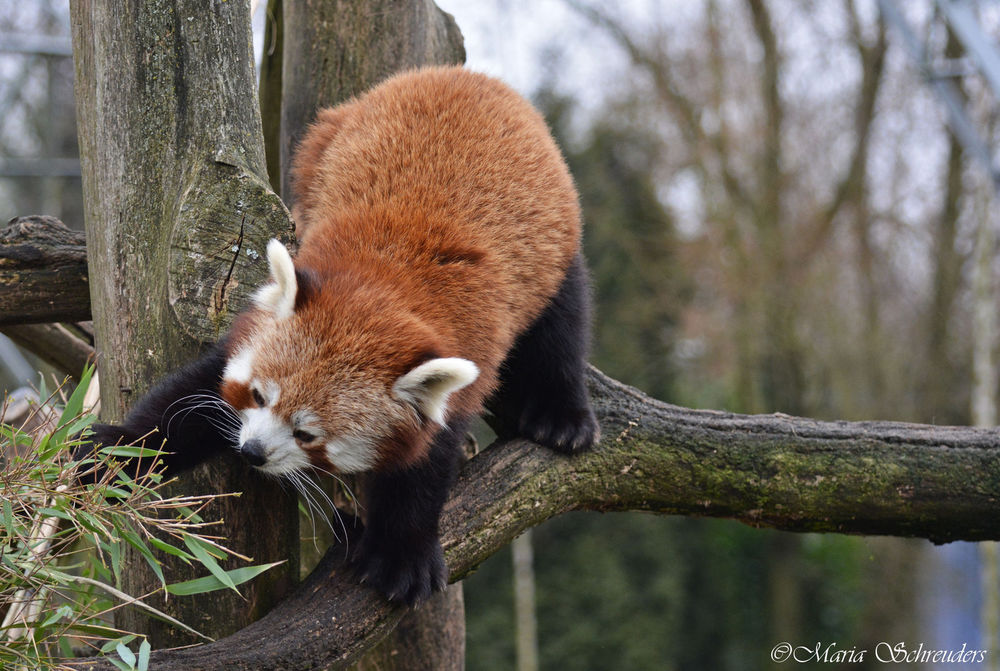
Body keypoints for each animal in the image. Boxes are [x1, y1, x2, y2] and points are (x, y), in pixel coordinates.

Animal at [78, 67, 596, 604]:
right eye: (258, 396)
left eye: (308, 434)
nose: (252, 451)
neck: (386, 288)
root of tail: (464, 75)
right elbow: (188, 402)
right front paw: (111, 453)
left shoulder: (465, 358)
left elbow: (424, 467)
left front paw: (401, 554)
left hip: (552, 248)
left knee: (561, 329)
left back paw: (562, 417)